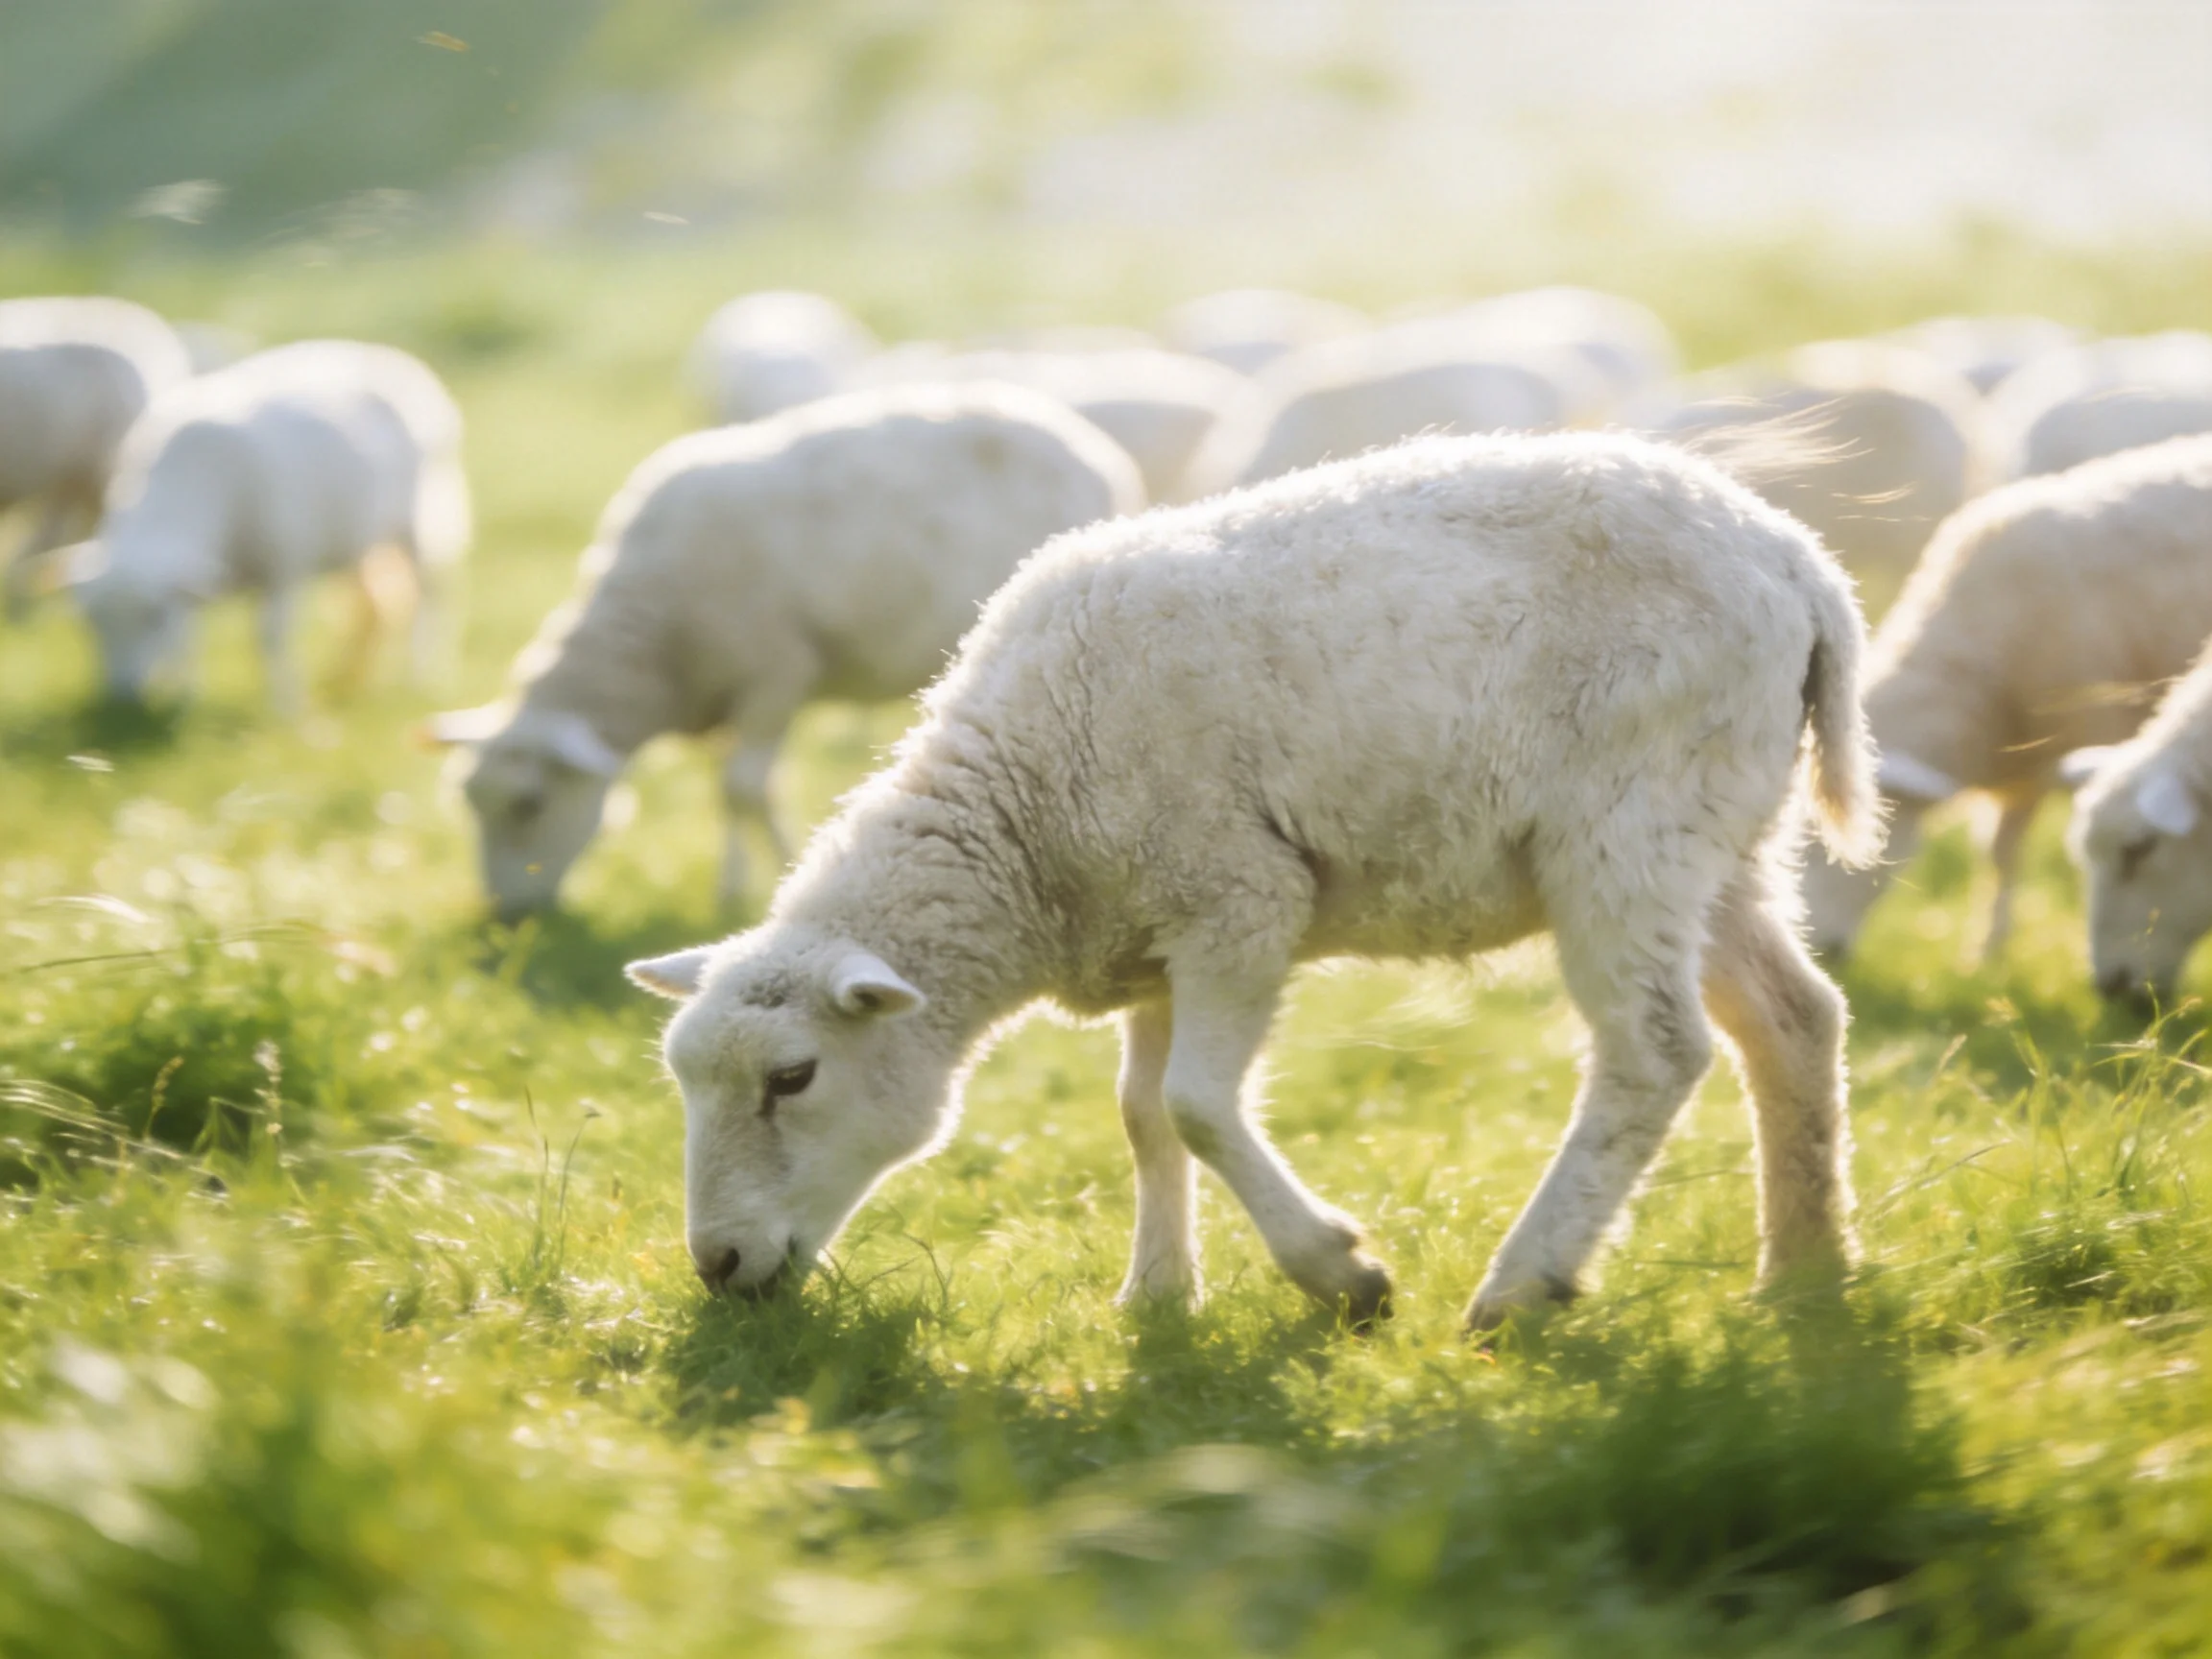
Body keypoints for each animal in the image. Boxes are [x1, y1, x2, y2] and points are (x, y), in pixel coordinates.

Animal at [70, 339, 470, 710]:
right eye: (92, 623)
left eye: (153, 617)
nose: (123, 696)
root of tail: (395, 358)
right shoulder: (192, 586)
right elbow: (189, 638)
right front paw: (185, 698)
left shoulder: (283, 566)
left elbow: (270, 638)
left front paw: (286, 707)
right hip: (360, 535)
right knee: (374, 605)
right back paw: (343, 676)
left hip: (425, 523)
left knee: (428, 598)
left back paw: (421, 674)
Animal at [429, 383, 1144, 920]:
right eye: (471, 803)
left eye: (528, 804)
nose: (504, 914)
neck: (652, 646)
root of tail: (1094, 451)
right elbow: (743, 791)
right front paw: (759, 878)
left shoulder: (774, 672)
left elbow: (743, 789)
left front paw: (755, 885)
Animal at [624, 429, 1879, 1334]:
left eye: (792, 1078)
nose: (717, 1264)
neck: (1021, 824)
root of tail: (1797, 562)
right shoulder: (1149, 939)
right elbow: (1143, 1118)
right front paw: (1157, 1298)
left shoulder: (1236, 897)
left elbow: (1194, 1104)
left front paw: (1341, 1276)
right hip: (1722, 837)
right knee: (1795, 1019)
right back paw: (1804, 1273)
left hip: (1625, 825)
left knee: (1655, 1052)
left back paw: (1527, 1283)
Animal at [1802, 434, 2212, 960]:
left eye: (1823, 844)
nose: (1814, 950)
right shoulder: (2020, 761)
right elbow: (1999, 852)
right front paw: (1988, 949)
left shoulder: (2094, 725)